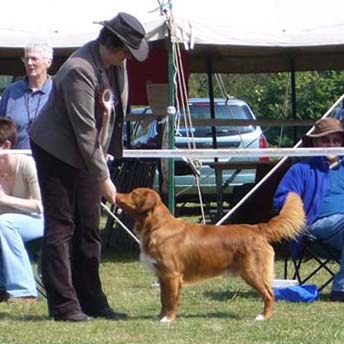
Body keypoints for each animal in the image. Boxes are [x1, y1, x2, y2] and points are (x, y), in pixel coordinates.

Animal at [115, 187, 304, 322]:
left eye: (133, 194)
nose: (115, 195)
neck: (156, 226)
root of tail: (256, 228)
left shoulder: (172, 275)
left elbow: (171, 300)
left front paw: (168, 319)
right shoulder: (162, 276)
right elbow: (163, 299)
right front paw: (160, 316)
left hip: (252, 272)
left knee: (269, 294)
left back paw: (263, 317)